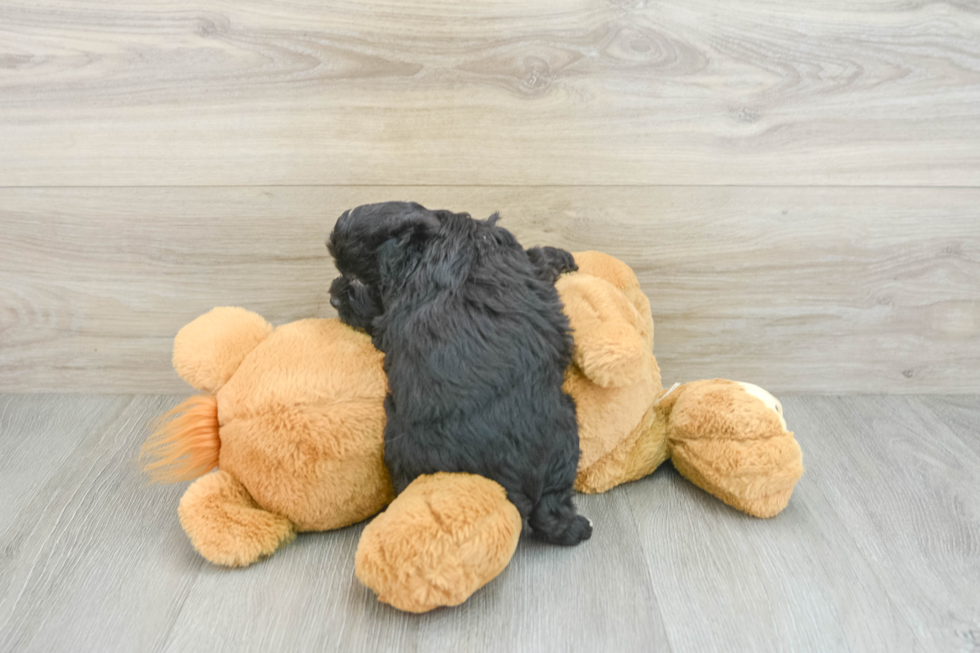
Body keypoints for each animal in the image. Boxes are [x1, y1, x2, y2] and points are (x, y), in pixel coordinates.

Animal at [328, 200, 588, 544]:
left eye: (356, 278)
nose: (333, 298)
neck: (430, 242)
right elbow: (538, 258)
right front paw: (561, 256)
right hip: (563, 434)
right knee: (553, 504)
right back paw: (577, 527)